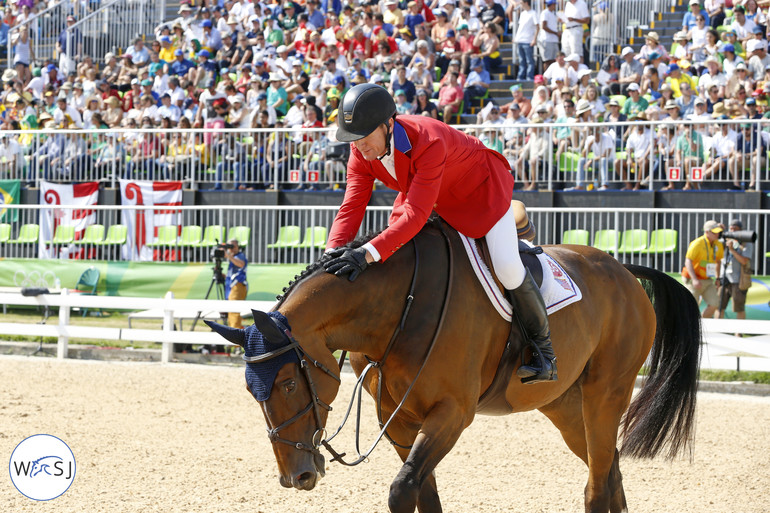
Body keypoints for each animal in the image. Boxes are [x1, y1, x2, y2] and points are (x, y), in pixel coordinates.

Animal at [207, 217, 700, 512]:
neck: (396, 305)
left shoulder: (451, 414)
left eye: (290, 384)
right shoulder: (399, 420)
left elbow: (404, 489)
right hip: (562, 405)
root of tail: (622, 268)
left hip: (605, 394)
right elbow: (424, 493)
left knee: (598, 481)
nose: (297, 476)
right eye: (252, 391)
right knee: (609, 467)